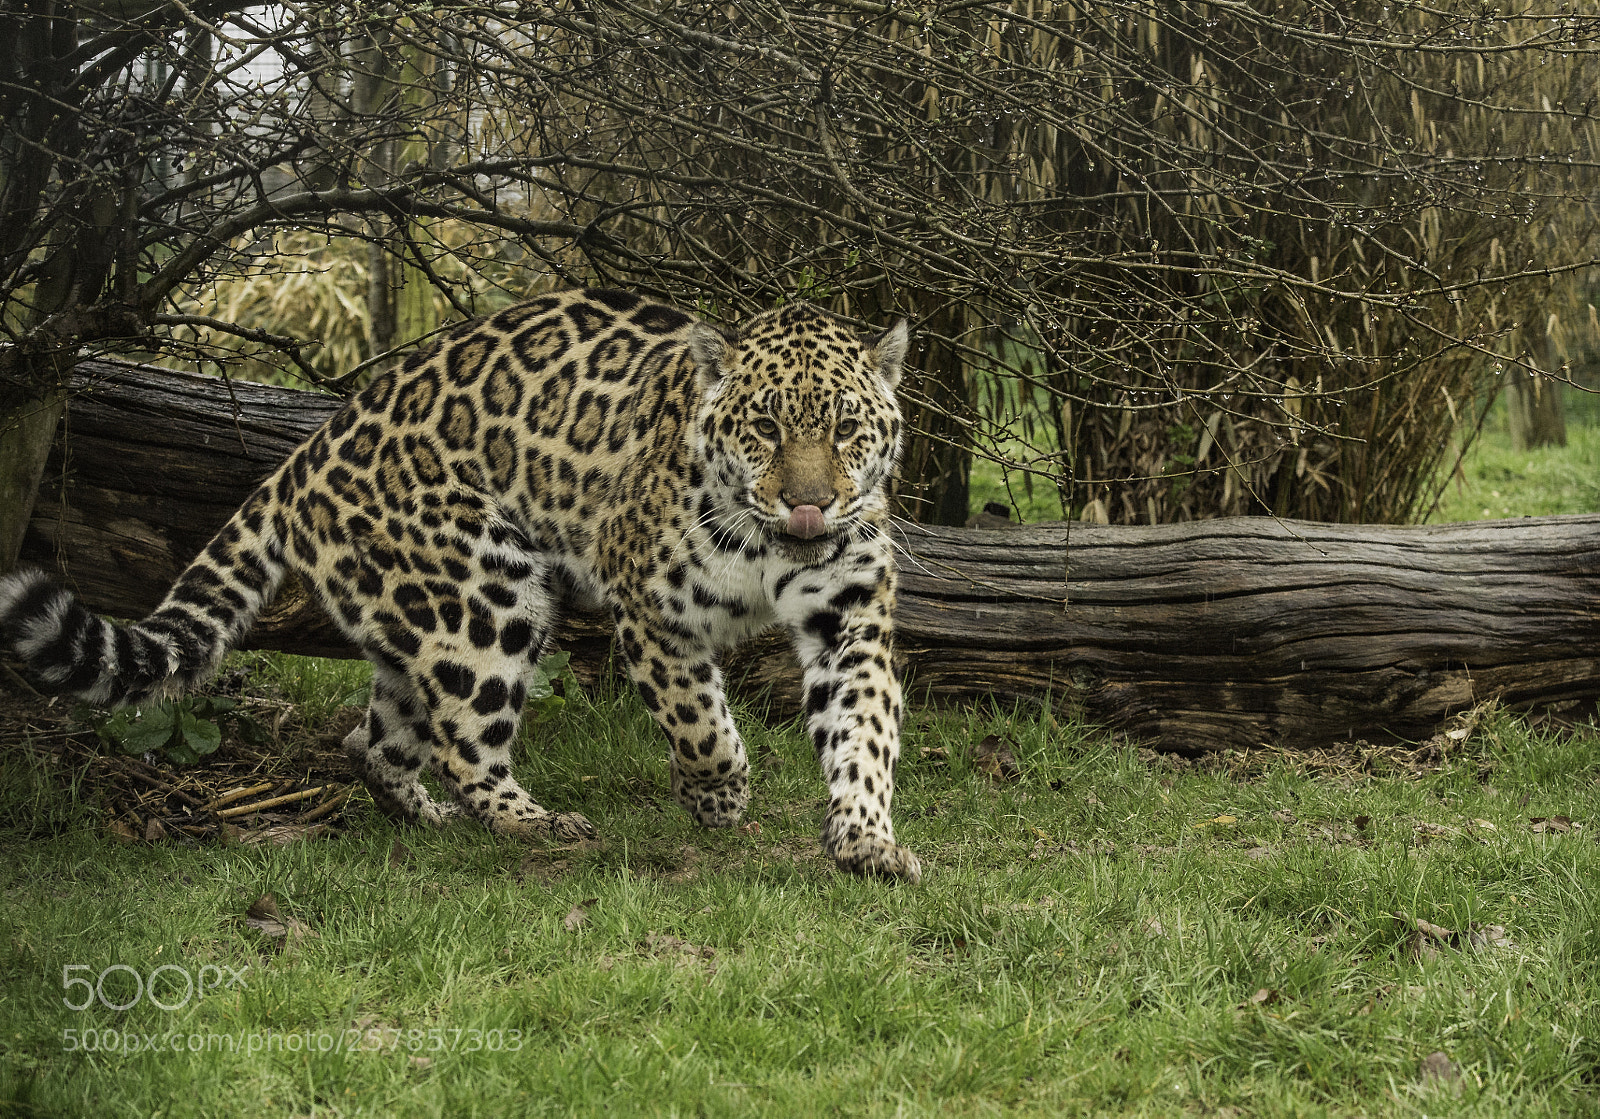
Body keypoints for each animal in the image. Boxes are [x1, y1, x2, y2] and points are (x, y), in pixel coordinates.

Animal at [0, 288, 921, 881]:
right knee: (466, 742)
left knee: (375, 738)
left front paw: (866, 840)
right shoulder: (649, 603)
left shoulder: (848, 616)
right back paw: (537, 824)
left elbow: (863, 729)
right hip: (490, 598)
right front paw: (720, 798)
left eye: (847, 428)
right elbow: (699, 722)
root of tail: (305, 456)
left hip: (431, 613)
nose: (809, 504)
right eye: (764, 426)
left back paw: (427, 814)